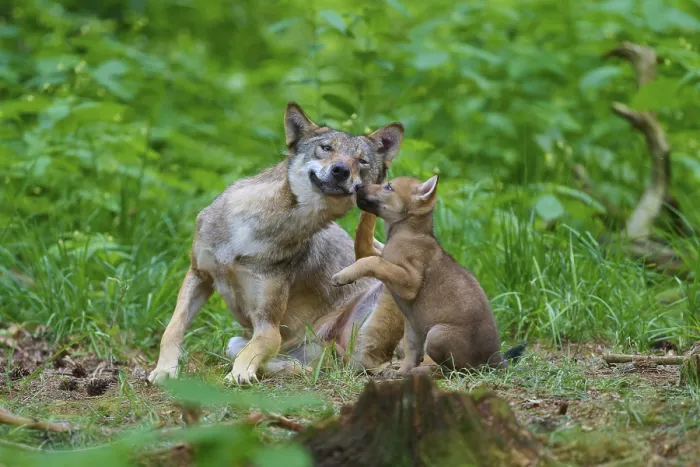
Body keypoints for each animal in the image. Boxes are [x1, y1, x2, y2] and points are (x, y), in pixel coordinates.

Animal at [148, 103, 405, 385]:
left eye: (362, 161)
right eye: (326, 148)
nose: (341, 170)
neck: (260, 227)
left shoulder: (268, 325)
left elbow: (254, 350)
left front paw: (240, 374)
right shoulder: (198, 275)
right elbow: (173, 328)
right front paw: (165, 370)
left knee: (366, 365)